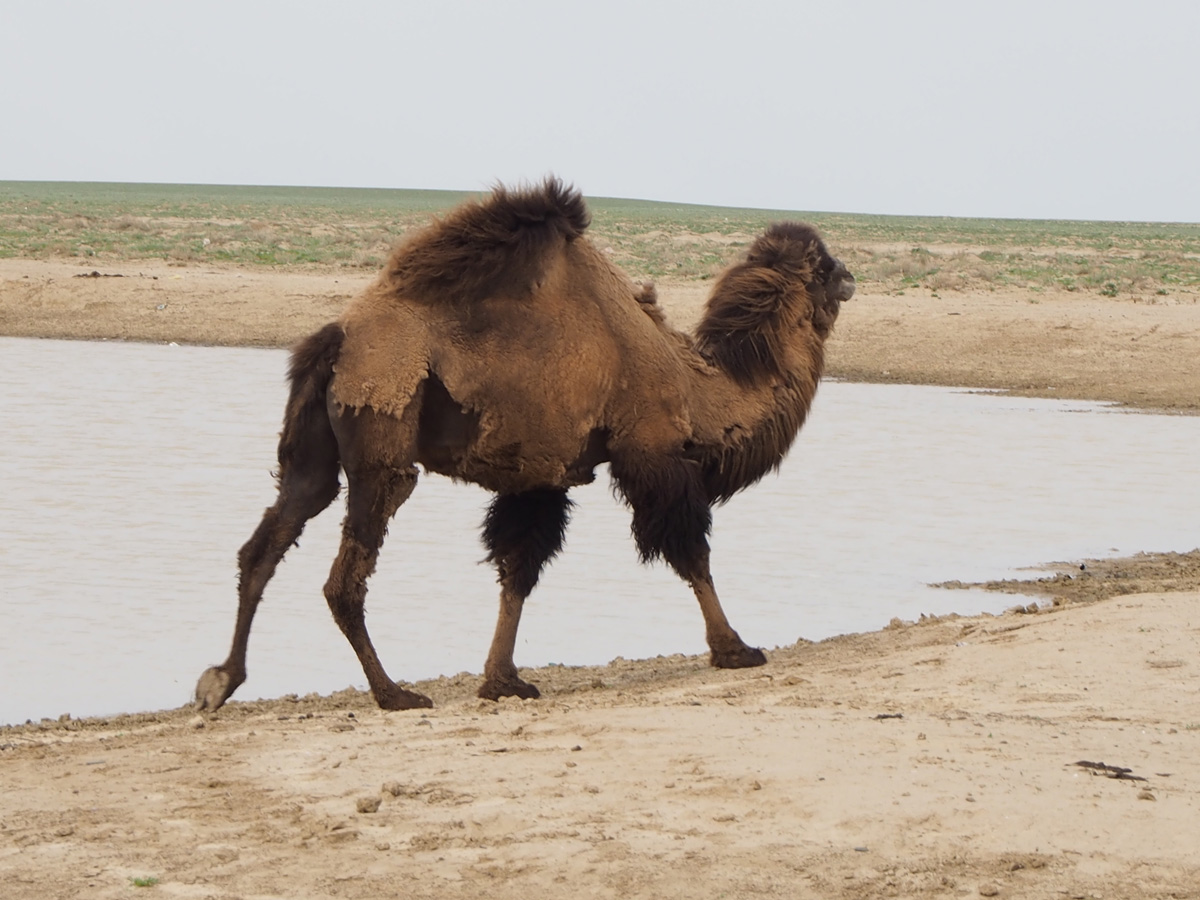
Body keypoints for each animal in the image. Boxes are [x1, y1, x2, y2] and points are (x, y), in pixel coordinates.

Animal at [195, 178, 855, 711]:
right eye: (822, 266)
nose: (850, 277)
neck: (697, 386)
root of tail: (335, 340)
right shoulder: (652, 450)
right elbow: (691, 551)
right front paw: (735, 648)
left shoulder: (541, 473)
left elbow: (518, 569)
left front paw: (502, 679)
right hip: (383, 433)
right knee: (346, 575)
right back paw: (394, 693)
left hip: (312, 453)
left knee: (267, 541)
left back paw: (221, 681)